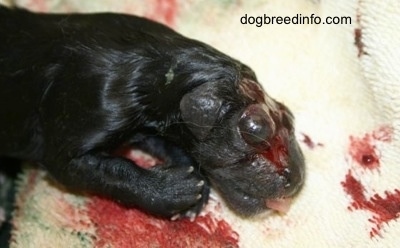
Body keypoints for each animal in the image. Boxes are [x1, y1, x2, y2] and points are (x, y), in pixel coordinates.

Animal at [0, 5, 304, 218]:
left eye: (290, 116)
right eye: (254, 127)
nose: (298, 181)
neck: (153, 66)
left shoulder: (148, 125)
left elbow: (169, 145)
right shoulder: (84, 117)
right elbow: (102, 169)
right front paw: (173, 189)